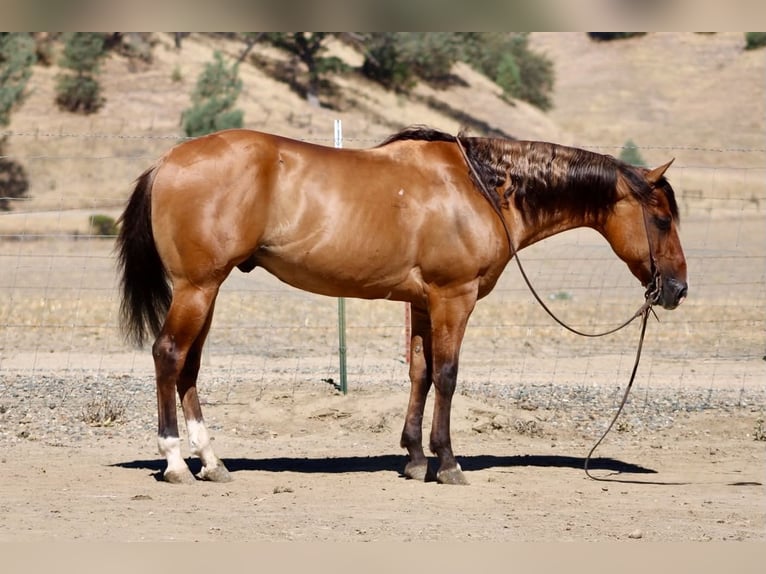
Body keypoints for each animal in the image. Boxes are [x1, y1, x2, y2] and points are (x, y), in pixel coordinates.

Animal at [116, 126, 687, 485]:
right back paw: (175, 463)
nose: (678, 289)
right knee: (169, 355)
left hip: (207, 290)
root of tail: (167, 162)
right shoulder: (454, 297)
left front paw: (414, 457)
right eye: (662, 219)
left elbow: (421, 373)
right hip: (196, 287)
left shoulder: (422, 302)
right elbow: (449, 375)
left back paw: (211, 462)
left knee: (189, 367)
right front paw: (448, 462)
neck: (480, 189)